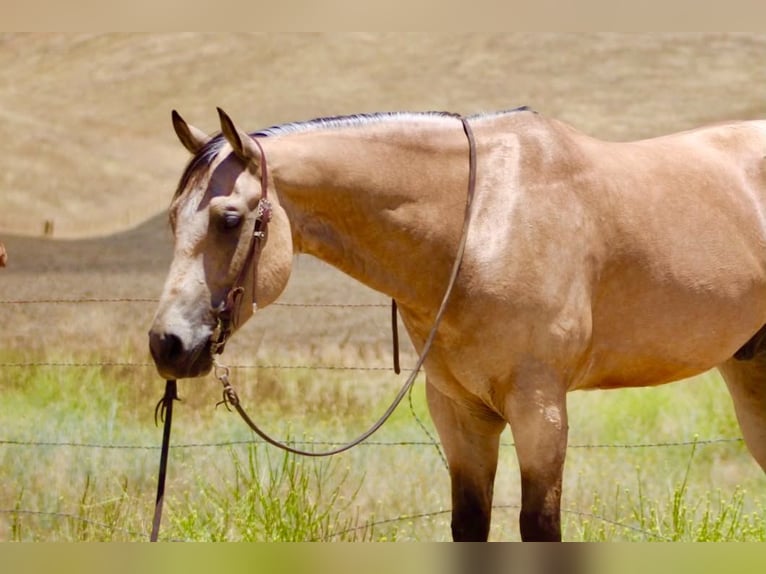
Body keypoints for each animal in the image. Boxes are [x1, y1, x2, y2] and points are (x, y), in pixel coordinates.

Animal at [149, 106, 766, 541]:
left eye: (230, 218)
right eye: (173, 219)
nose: (167, 345)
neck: (480, 225)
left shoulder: (539, 409)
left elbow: (539, 527)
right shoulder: (459, 412)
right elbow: (469, 524)